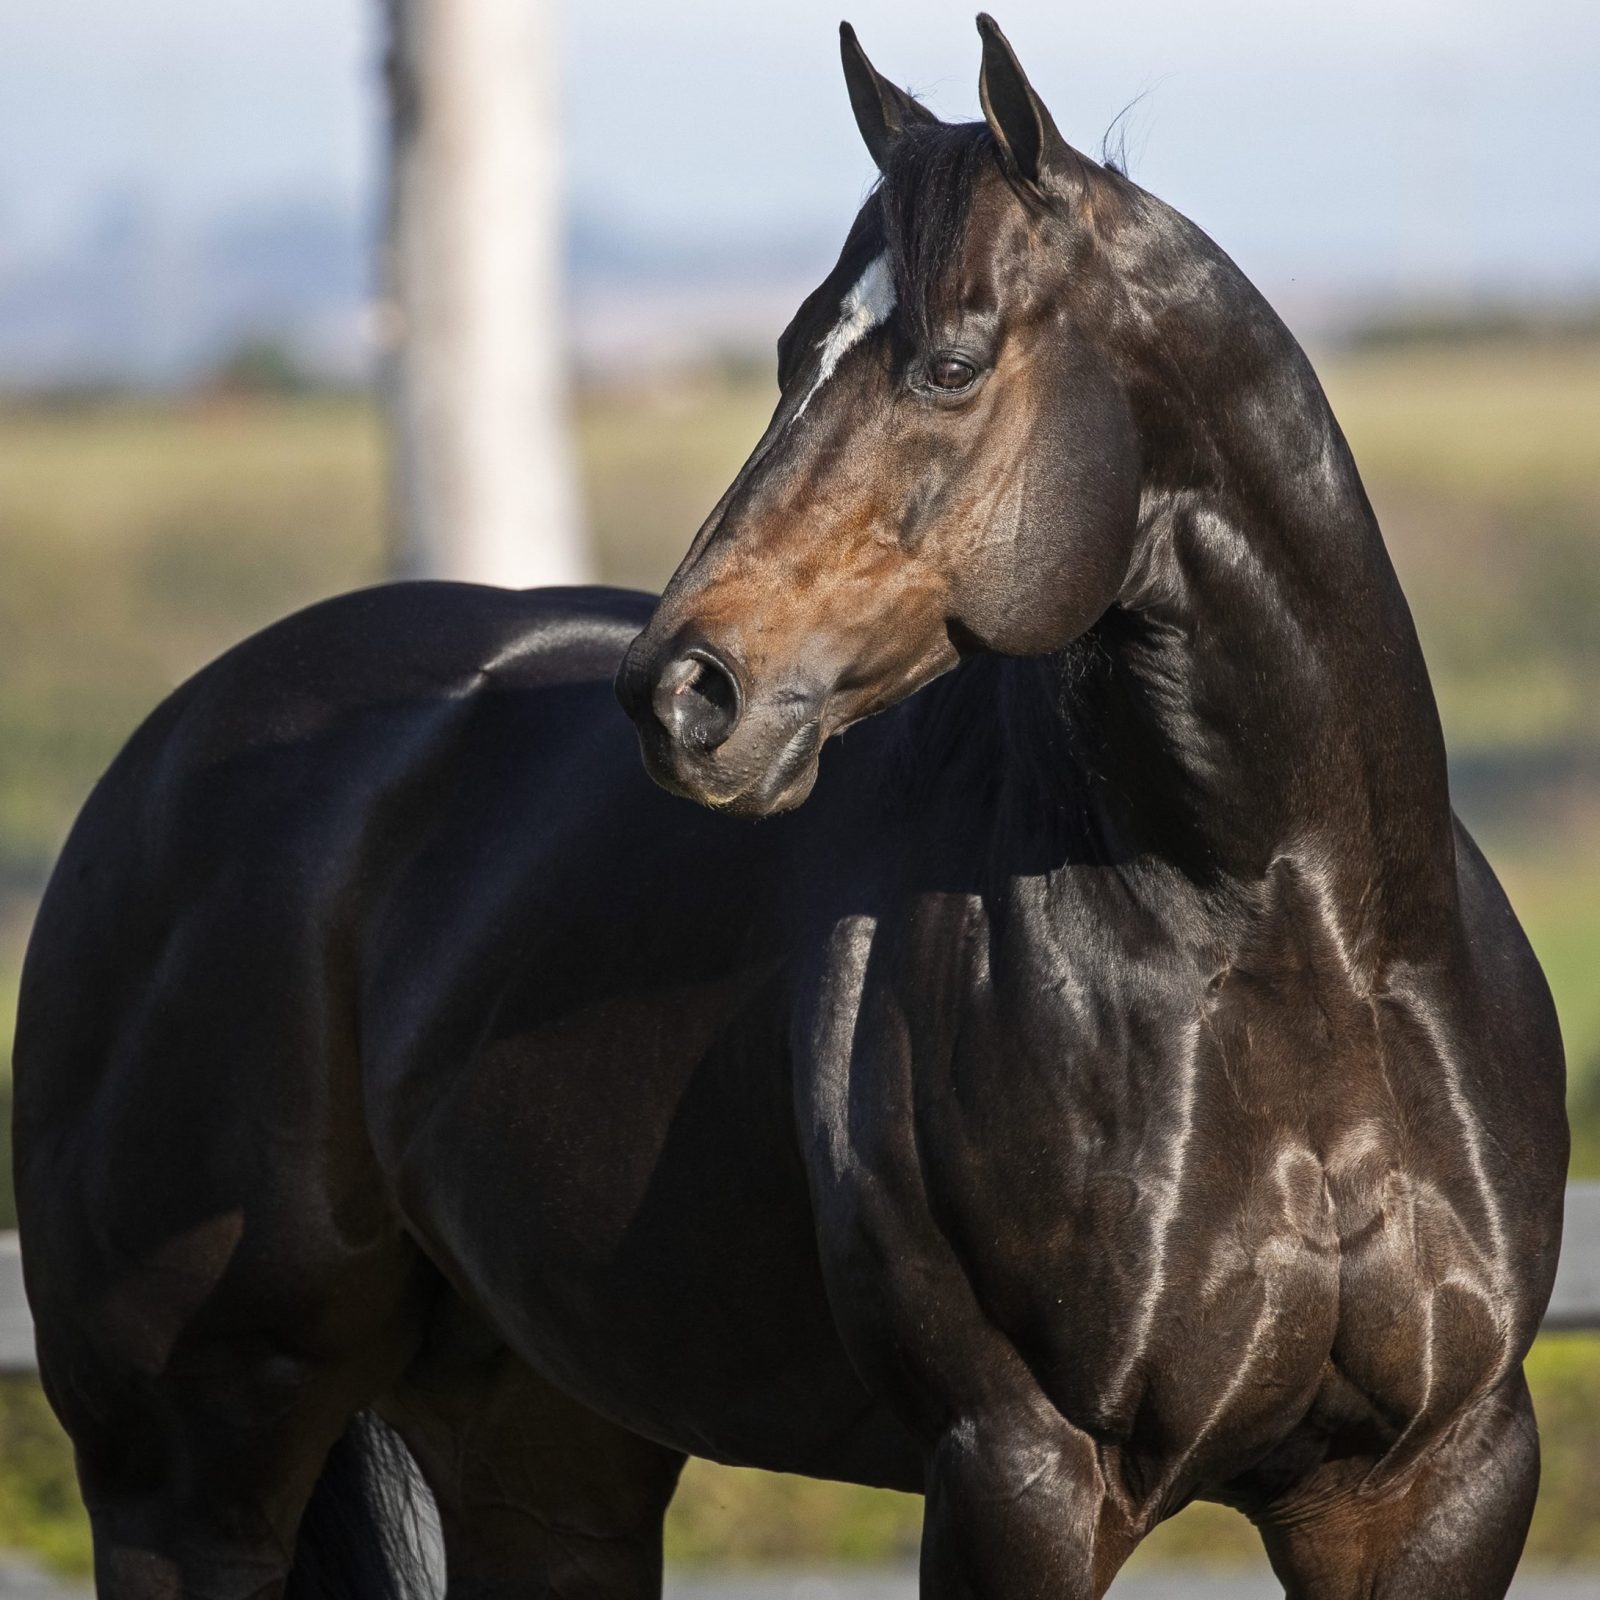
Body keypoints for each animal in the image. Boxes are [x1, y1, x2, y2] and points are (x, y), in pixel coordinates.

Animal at [13, 15, 1568, 1599]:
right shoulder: (1022, 1474)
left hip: (542, 1448)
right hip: (189, 1473)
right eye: (788, 352)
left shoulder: (1430, 1484)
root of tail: (161, 761)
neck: (1283, 940)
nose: (685, 693)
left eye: (950, 362)